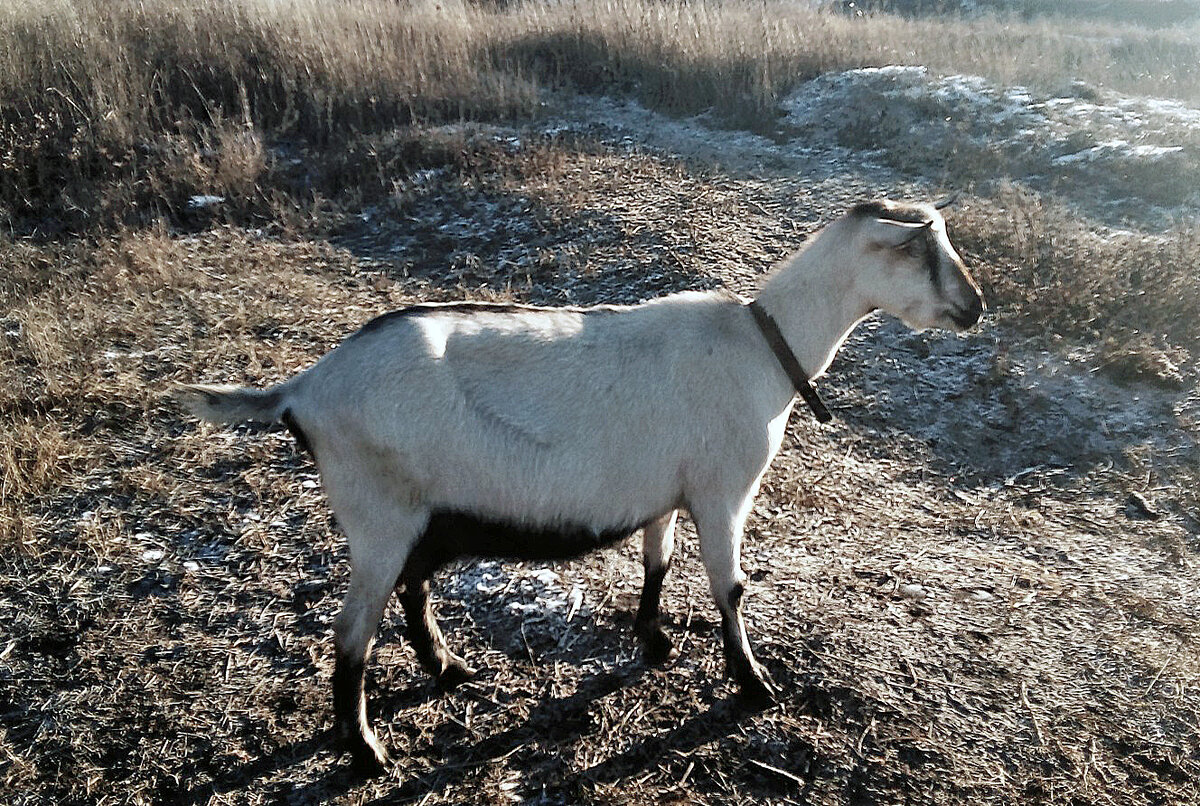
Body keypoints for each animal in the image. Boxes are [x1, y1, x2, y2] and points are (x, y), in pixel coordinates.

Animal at [180, 196, 984, 772]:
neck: (763, 344)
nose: (975, 307)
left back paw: (448, 669)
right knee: (352, 633)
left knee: (414, 589)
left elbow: (658, 561)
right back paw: (366, 752)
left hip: (423, 514)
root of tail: (305, 389)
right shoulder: (723, 488)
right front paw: (754, 685)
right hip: (378, 517)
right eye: (921, 249)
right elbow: (731, 588)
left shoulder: (669, 490)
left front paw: (654, 641)